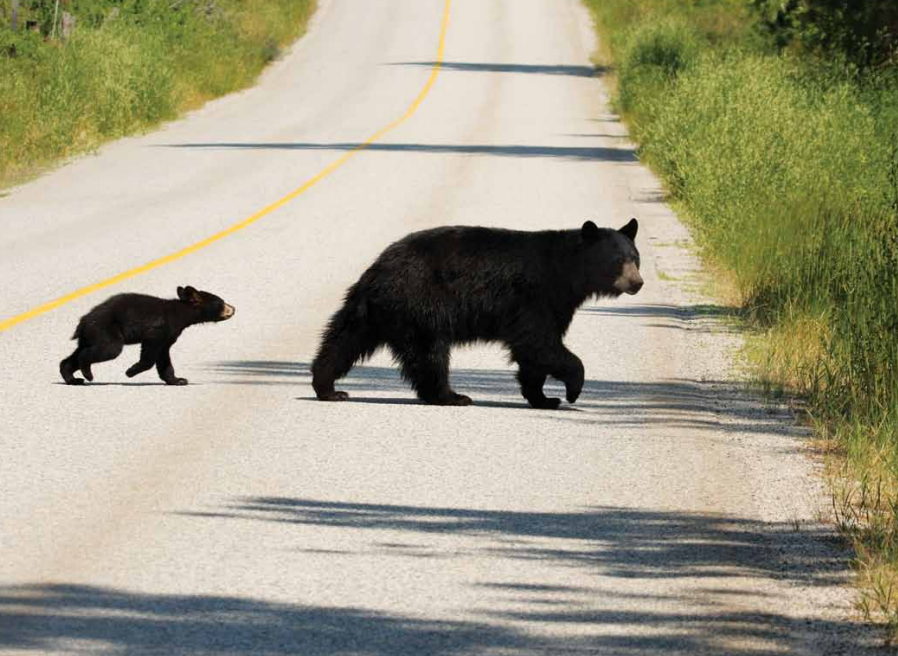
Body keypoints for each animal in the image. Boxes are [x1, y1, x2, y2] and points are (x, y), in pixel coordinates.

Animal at [60, 286, 234, 384]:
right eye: (221, 302)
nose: (233, 308)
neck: (181, 315)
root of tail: (82, 323)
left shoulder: (169, 336)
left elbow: (164, 359)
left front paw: (178, 380)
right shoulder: (159, 328)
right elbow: (150, 351)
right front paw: (130, 371)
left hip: (90, 336)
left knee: (74, 356)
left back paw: (72, 378)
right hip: (105, 330)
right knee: (108, 349)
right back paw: (88, 374)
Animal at [312, 218, 640, 408]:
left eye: (636, 258)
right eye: (617, 260)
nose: (637, 282)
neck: (566, 273)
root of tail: (379, 269)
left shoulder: (556, 304)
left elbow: (533, 354)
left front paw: (544, 398)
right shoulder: (535, 296)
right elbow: (539, 342)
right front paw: (572, 390)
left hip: (372, 311)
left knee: (344, 339)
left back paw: (326, 386)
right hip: (422, 304)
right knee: (429, 354)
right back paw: (451, 396)